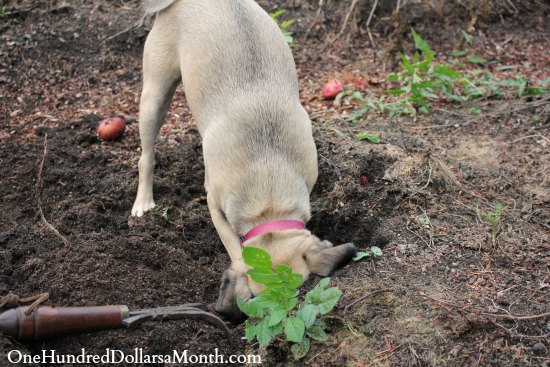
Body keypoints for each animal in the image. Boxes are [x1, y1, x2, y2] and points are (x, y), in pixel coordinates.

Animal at [133, 0, 358, 320]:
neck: (269, 197)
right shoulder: (216, 207)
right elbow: (234, 247)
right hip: (155, 95)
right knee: (146, 157)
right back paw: (143, 202)